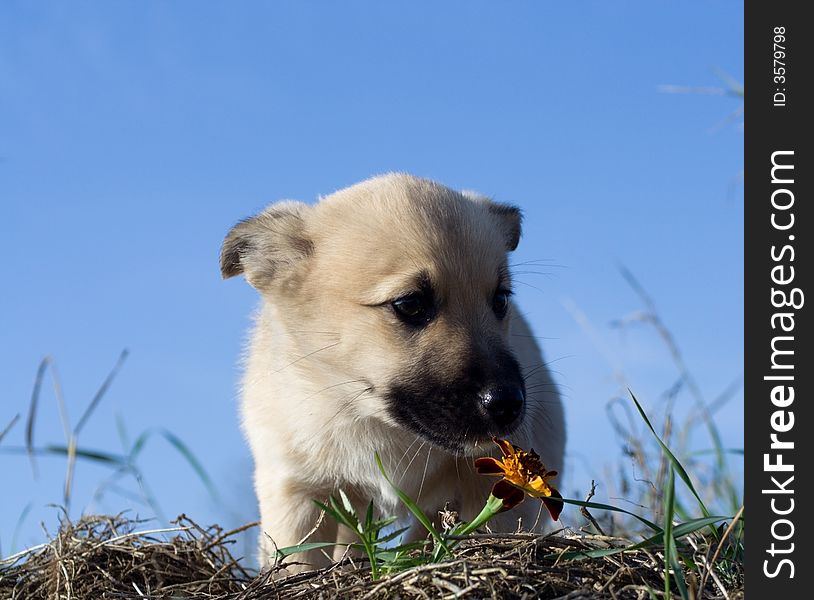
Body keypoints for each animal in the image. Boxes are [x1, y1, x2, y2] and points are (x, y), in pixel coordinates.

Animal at [223, 175, 568, 572]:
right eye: (411, 304)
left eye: (500, 300)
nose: (508, 404)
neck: (374, 421)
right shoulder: (297, 492)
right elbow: (296, 565)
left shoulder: (491, 490)